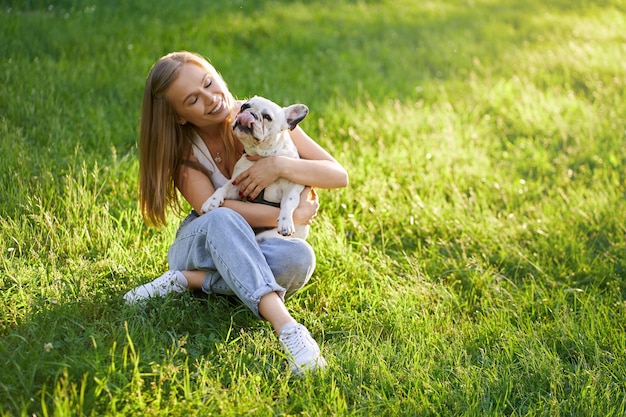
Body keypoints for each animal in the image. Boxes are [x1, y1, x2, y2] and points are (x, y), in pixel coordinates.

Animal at [199, 96, 308, 242]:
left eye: (267, 117)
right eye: (244, 106)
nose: (250, 113)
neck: (263, 156)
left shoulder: (292, 187)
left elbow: (288, 202)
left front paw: (285, 223)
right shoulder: (238, 186)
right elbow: (223, 188)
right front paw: (212, 201)